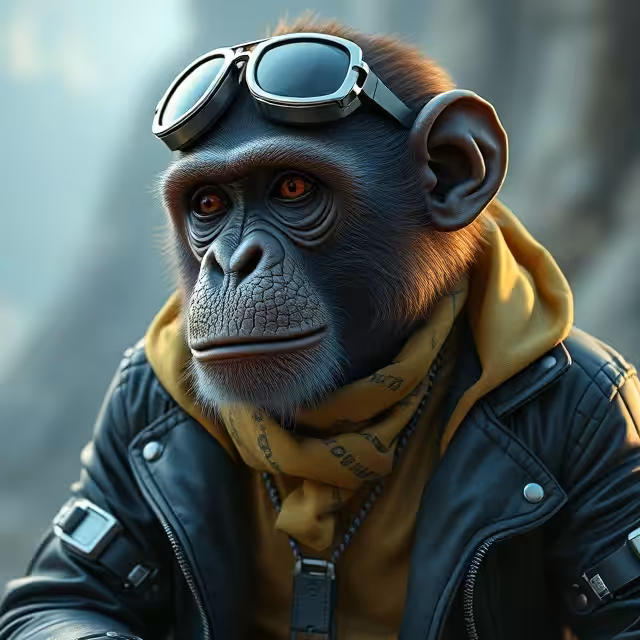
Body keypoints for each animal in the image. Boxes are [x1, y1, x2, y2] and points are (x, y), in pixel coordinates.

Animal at [2, 16, 640, 640]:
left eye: (292, 187)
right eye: (208, 204)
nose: (232, 260)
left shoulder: (607, 411)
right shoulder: (129, 399)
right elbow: (65, 595)